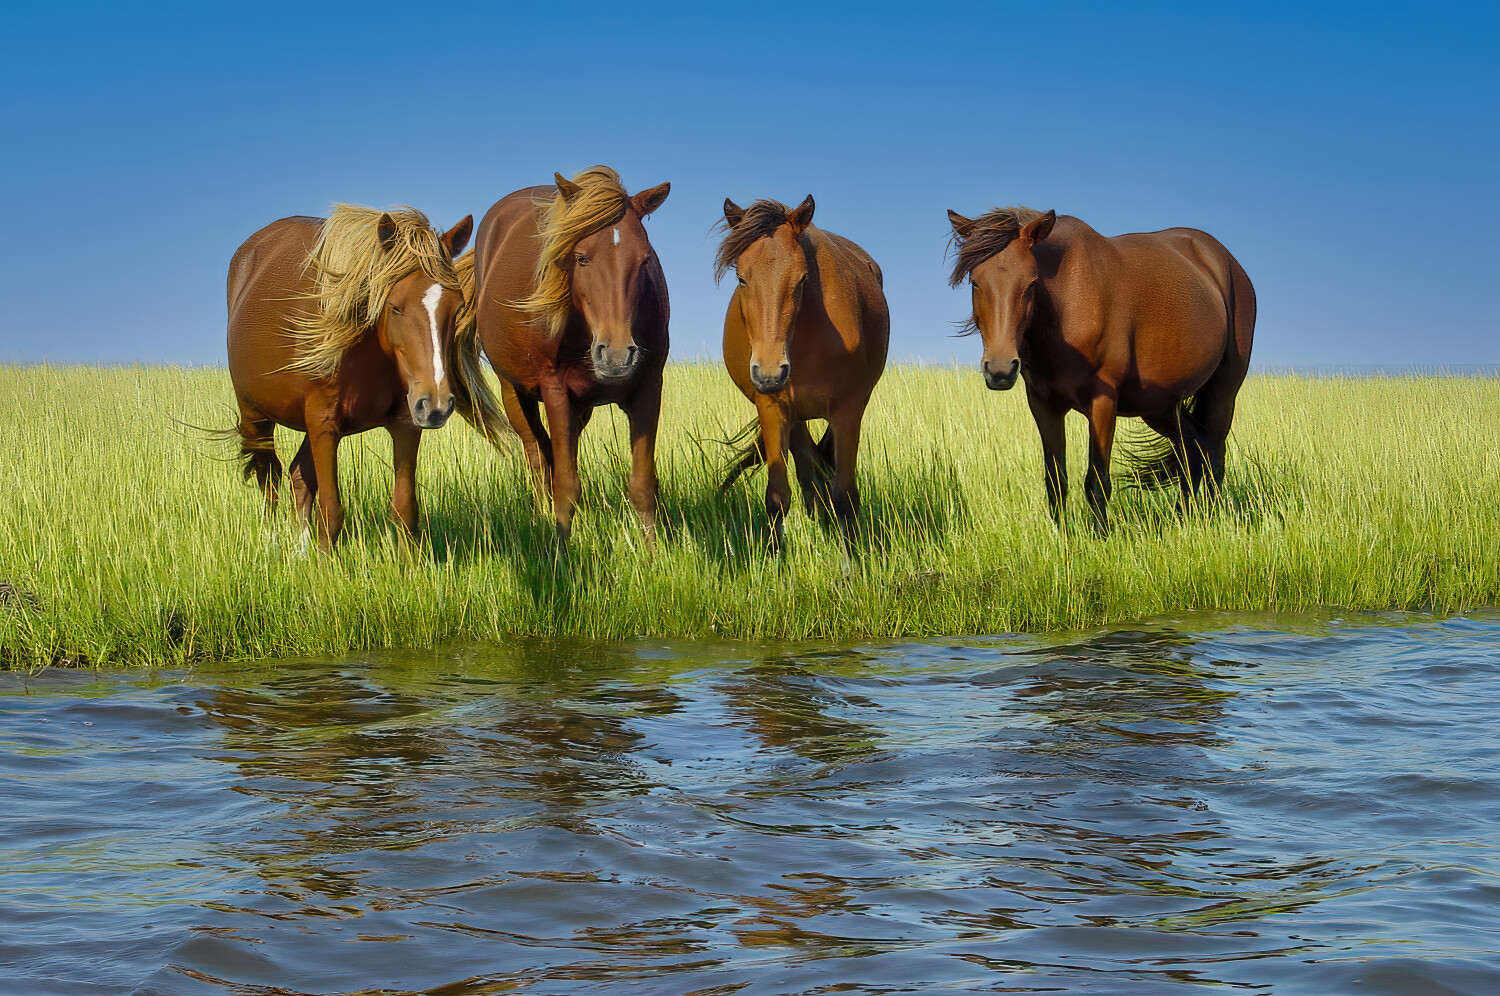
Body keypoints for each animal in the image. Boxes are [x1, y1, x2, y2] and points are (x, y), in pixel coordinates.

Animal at [227, 204, 507, 551]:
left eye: (456, 308)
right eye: (395, 306)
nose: (437, 405)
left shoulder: (404, 425)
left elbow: (404, 513)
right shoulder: (323, 425)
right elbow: (331, 513)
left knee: (297, 476)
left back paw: (301, 550)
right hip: (256, 415)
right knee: (269, 474)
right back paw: (271, 540)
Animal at [473, 166, 671, 547]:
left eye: (645, 259)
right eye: (581, 257)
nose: (617, 354)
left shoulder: (649, 388)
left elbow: (642, 486)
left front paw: (654, 554)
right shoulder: (555, 391)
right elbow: (565, 486)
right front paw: (560, 554)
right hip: (514, 392)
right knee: (537, 456)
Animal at [715, 196, 889, 546]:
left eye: (802, 279)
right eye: (741, 279)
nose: (770, 373)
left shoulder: (848, 411)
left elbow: (845, 497)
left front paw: (853, 557)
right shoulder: (773, 410)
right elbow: (778, 497)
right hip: (793, 419)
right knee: (810, 475)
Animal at [946, 206, 1256, 527]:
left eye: (1031, 283)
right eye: (975, 281)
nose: (1000, 371)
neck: (1071, 303)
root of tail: (1223, 261)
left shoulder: (1103, 403)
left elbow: (1097, 483)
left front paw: (1101, 535)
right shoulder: (1044, 405)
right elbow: (1056, 481)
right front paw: (1060, 534)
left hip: (1223, 391)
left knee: (1214, 454)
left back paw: (1212, 517)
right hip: (1159, 405)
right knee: (1192, 452)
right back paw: (1184, 518)